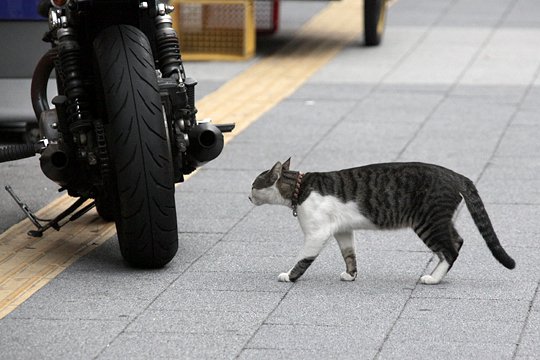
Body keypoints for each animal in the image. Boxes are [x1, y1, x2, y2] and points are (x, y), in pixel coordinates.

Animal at [249, 159, 516, 286]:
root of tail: (454, 174)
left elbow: (303, 258)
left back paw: (433, 278)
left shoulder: (317, 233)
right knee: (457, 241)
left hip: (427, 221)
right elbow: (349, 254)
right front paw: (351, 275)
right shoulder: (343, 230)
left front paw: (289, 276)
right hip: (438, 220)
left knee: (450, 249)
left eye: (253, 185)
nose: (248, 196)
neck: (299, 187)